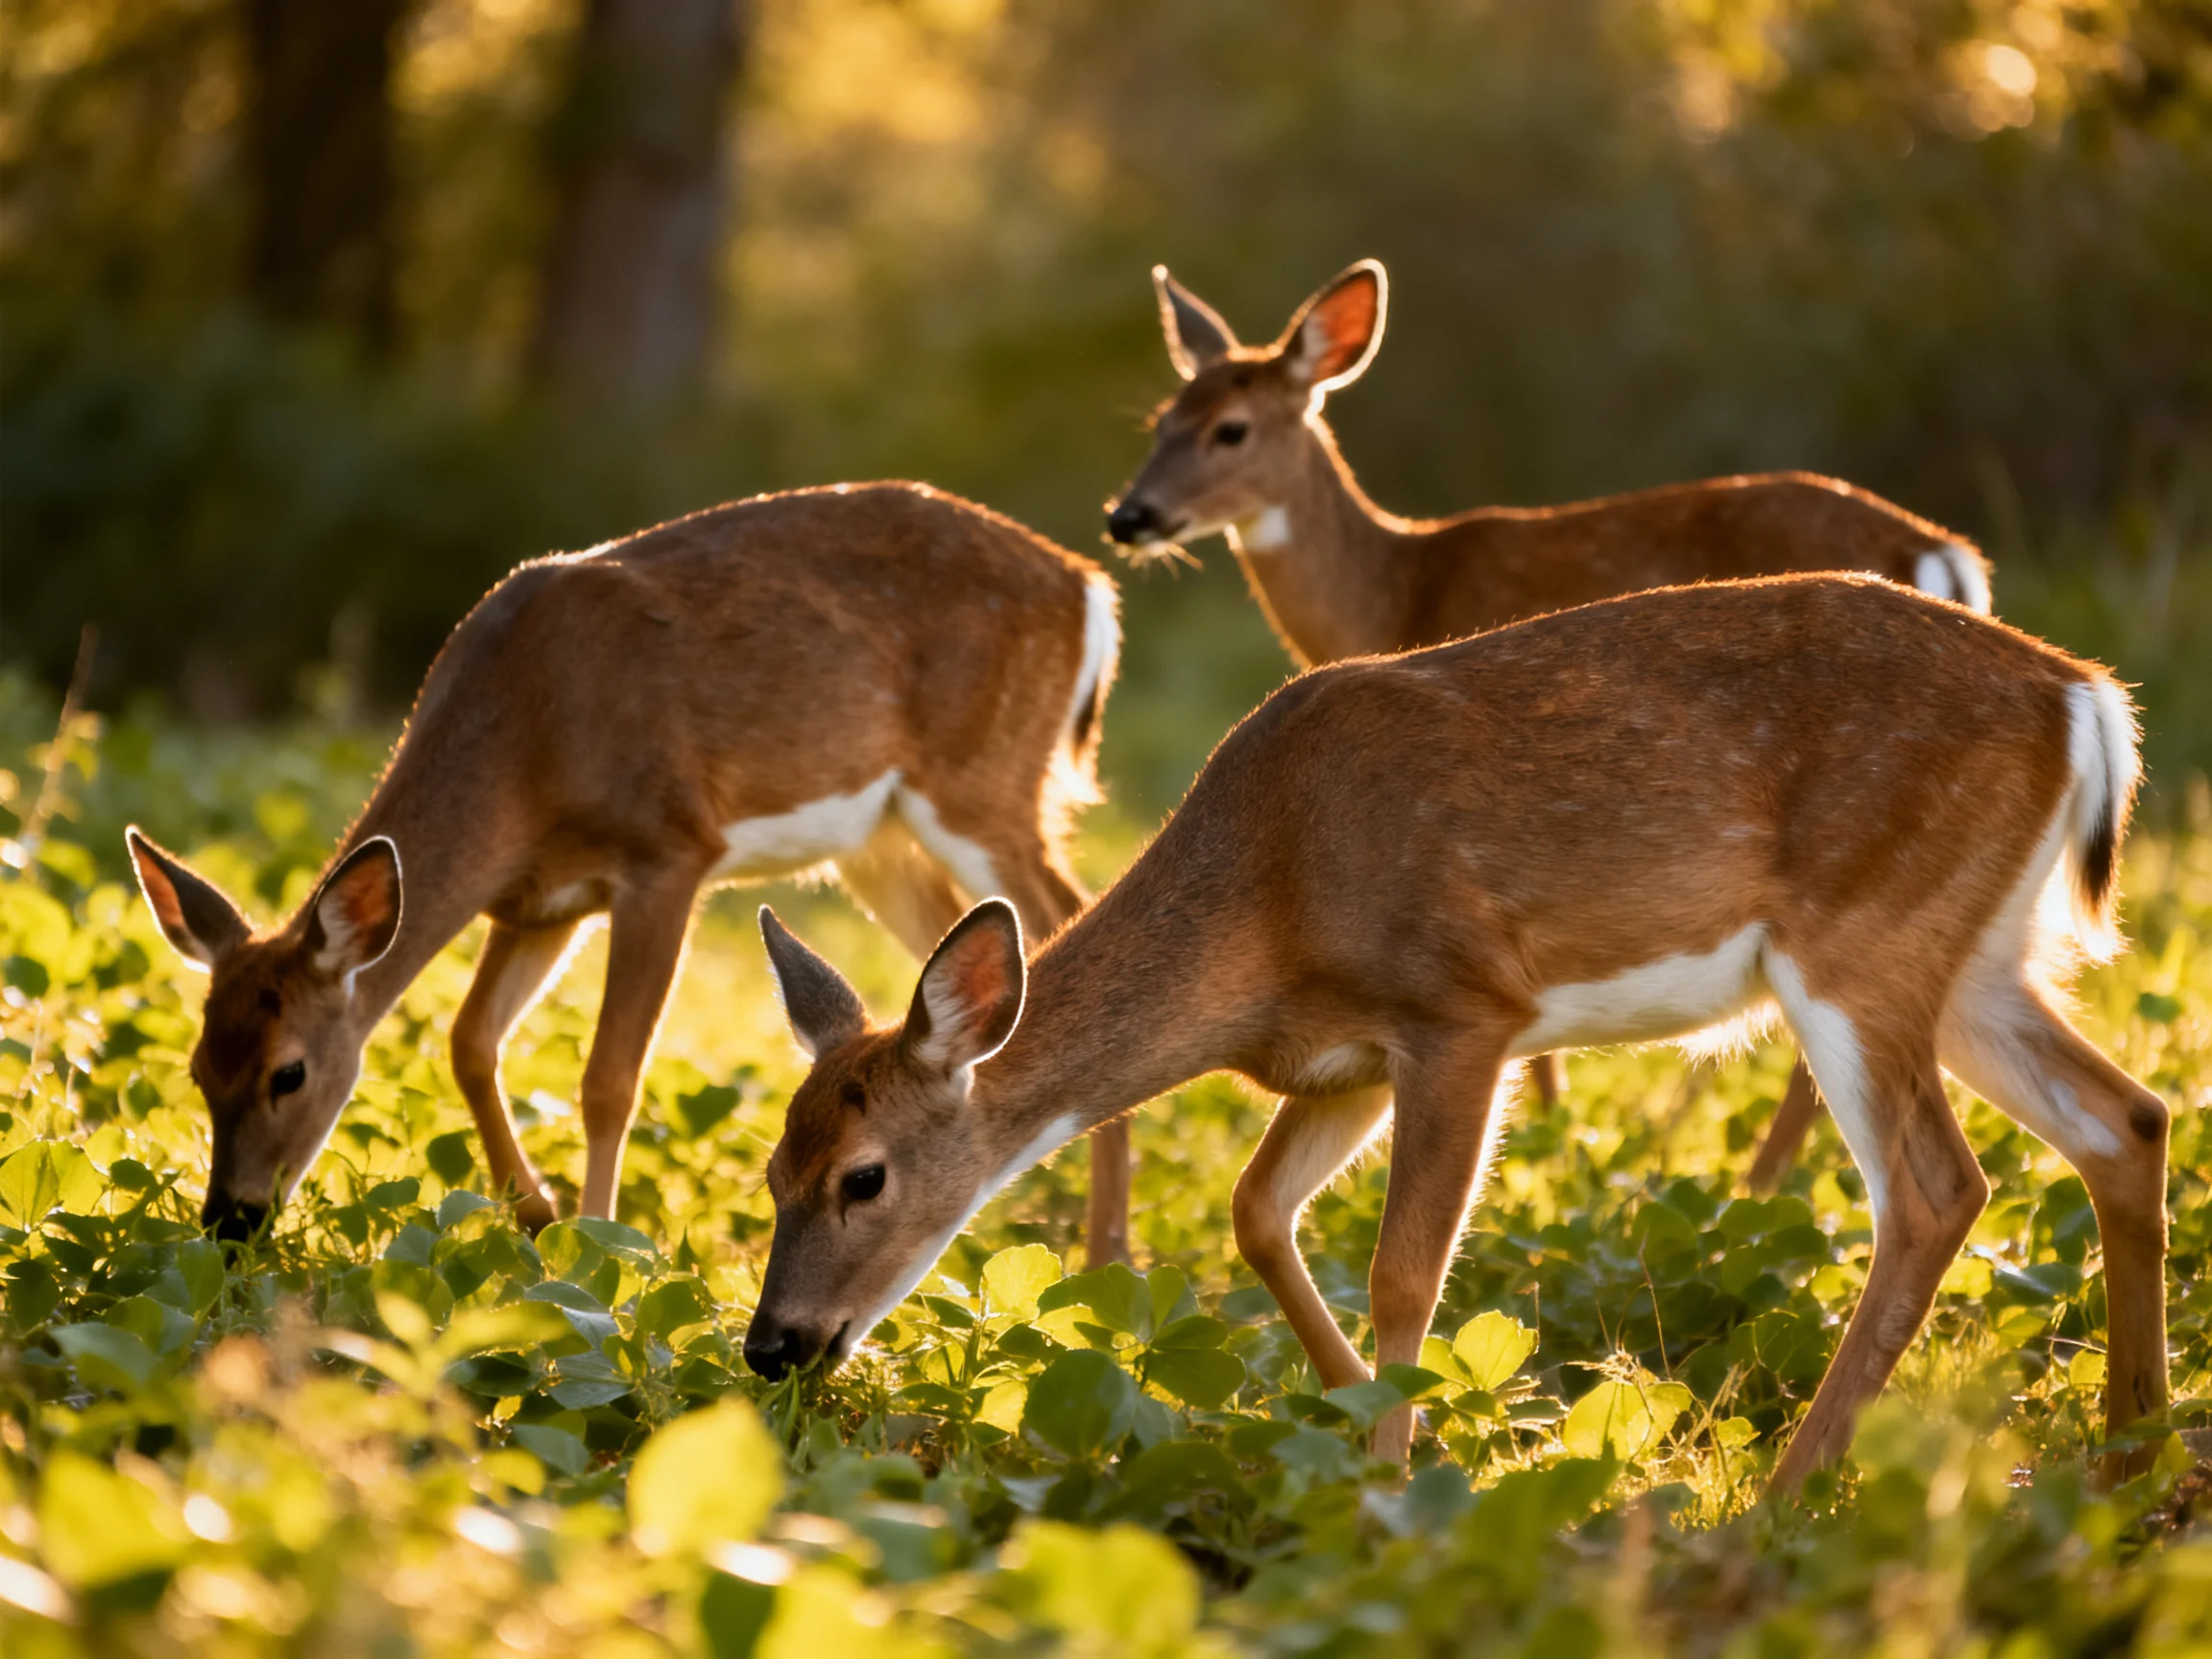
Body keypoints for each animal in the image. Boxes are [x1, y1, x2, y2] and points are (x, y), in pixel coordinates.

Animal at [125, 482, 1140, 1261]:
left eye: (289, 1073)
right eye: (198, 1070)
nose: (229, 1222)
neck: (526, 747)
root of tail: (1093, 591)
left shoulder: (668, 850)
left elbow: (609, 1077)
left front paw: (600, 1246)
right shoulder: (537, 903)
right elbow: (469, 1040)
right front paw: (534, 1212)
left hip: (987, 783)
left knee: (1074, 906)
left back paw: (1106, 1257)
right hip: (879, 845)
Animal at [741, 574, 2165, 1491]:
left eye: (864, 1178)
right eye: (770, 1171)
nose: (772, 1346)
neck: (1267, 902)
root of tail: (2085, 696)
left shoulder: (1463, 1011)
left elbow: (1403, 1273)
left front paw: (1392, 1485)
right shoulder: (1344, 1065)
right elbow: (1257, 1214)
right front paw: (1386, 1430)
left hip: (1863, 944)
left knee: (1938, 1188)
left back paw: (1789, 1490)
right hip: (1975, 961)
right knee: (2126, 1118)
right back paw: (2131, 1450)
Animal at [1105, 258, 1997, 1189]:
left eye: (1231, 430)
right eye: (1160, 420)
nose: (1127, 516)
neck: (1395, 588)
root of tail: (1944, 554)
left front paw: (1552, 1148)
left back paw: (1754, 1184)